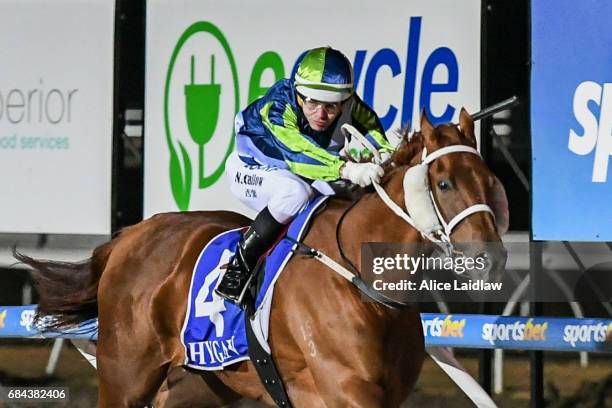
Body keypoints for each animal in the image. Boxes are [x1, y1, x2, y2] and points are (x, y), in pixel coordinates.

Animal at [17, 110, 506, 406]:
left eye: (488, 179)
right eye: (443, 183)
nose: (491, 258)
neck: (364, 285)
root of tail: (129, 237)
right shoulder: (347, 390)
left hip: (203, 385)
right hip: (125, 378)